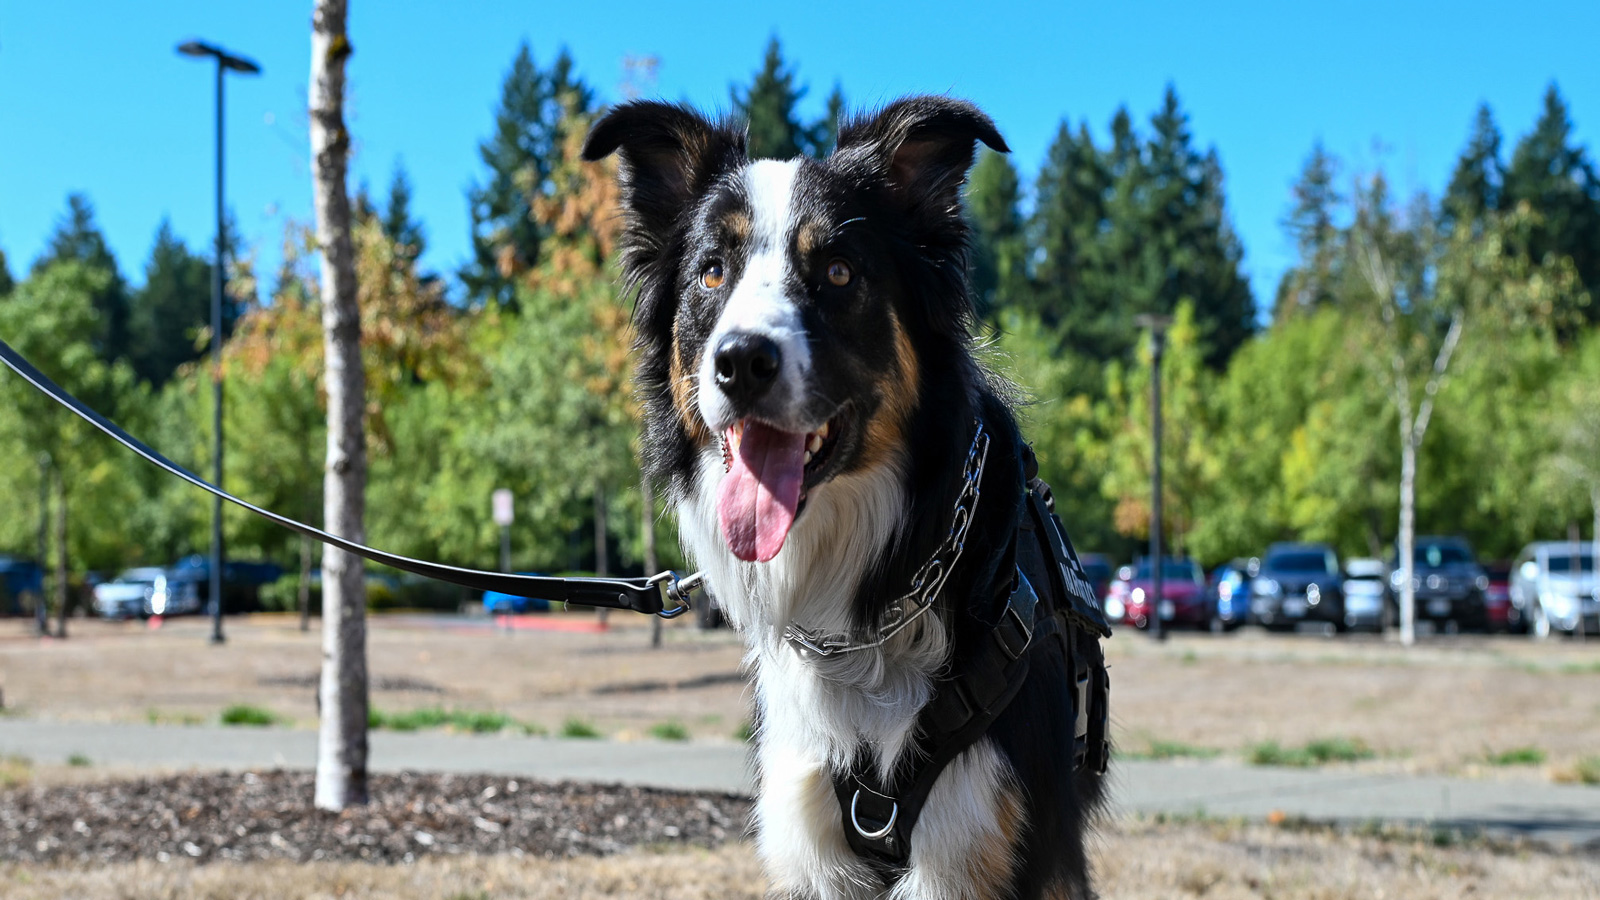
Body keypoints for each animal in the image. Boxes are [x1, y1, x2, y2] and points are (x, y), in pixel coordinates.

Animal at [588, 98, 1113, 896]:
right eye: (712, 272)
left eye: (837, 271)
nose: (740, 361)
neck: (863, 616)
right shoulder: (811, 840)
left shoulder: (982, 848)